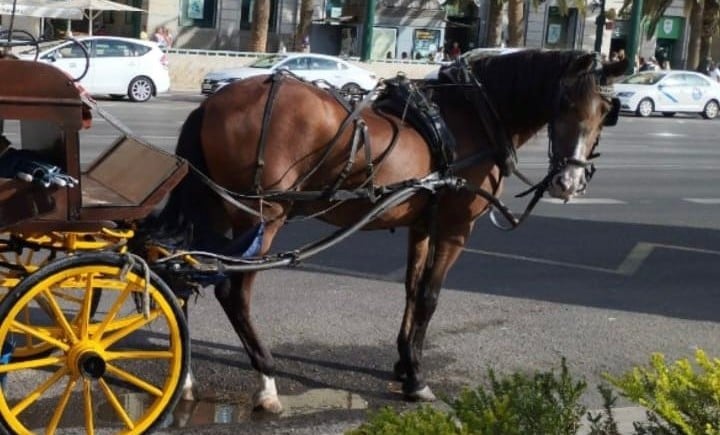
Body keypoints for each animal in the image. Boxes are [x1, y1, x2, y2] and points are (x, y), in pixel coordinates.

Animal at [151, 49, 628, 413]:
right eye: (564, 104)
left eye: (605, 111)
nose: (569, 183)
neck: (472, 117)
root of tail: (212, 103)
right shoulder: (455, 228)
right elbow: (431, 296)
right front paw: (416, 378)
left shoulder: (422, 223)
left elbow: (412, 290)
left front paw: (403, 360)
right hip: (262, 215)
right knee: (232, 291)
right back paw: (265, 380)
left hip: (219, 209)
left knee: (184, 274)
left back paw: (185, 377)